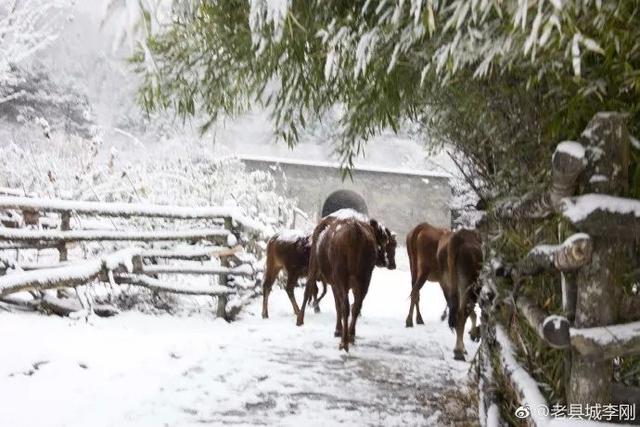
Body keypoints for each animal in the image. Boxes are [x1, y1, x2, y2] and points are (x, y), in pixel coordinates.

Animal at [296, 216, 396, 352]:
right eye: (385, 242)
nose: (388, 263)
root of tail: (355, 231)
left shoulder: (334, 282)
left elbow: (337, 305)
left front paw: (338, 330)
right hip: (363, 280)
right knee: (355, 306)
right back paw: (351, 336)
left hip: (333, 275)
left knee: (343, 306)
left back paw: (343, 342)